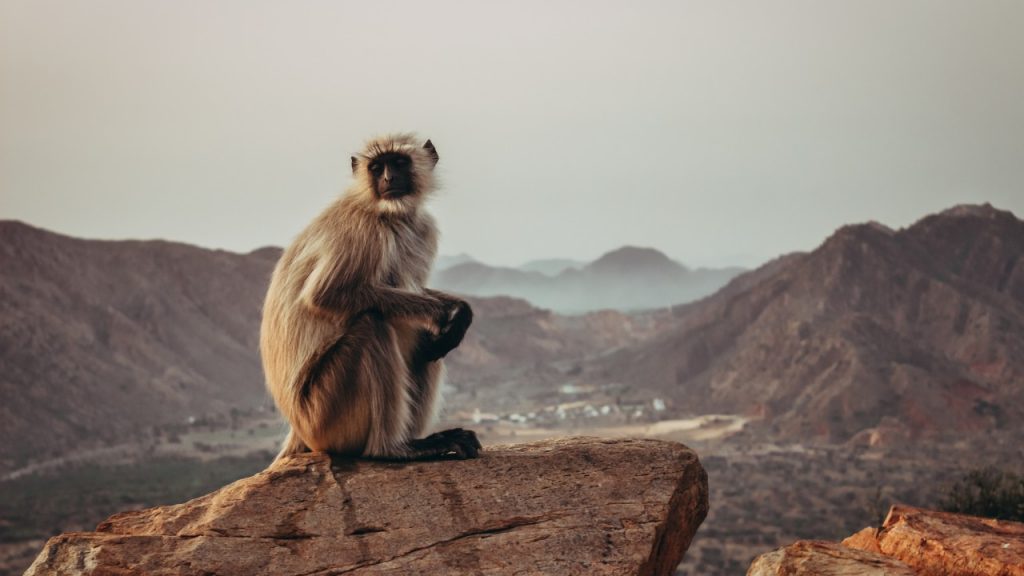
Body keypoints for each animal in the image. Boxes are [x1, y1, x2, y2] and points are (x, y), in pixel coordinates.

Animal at [260, 133, 480, 464]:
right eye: (377, 168)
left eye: (398, 162)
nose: (388, 179)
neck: (388, 212)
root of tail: (299, 431)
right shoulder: (363, 228)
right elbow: (326, 295)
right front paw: (446, 312)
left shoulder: (423, 228)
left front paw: (460, 312)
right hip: (325, 413)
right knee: (373, 324)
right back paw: (393, 449)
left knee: (425, 343)